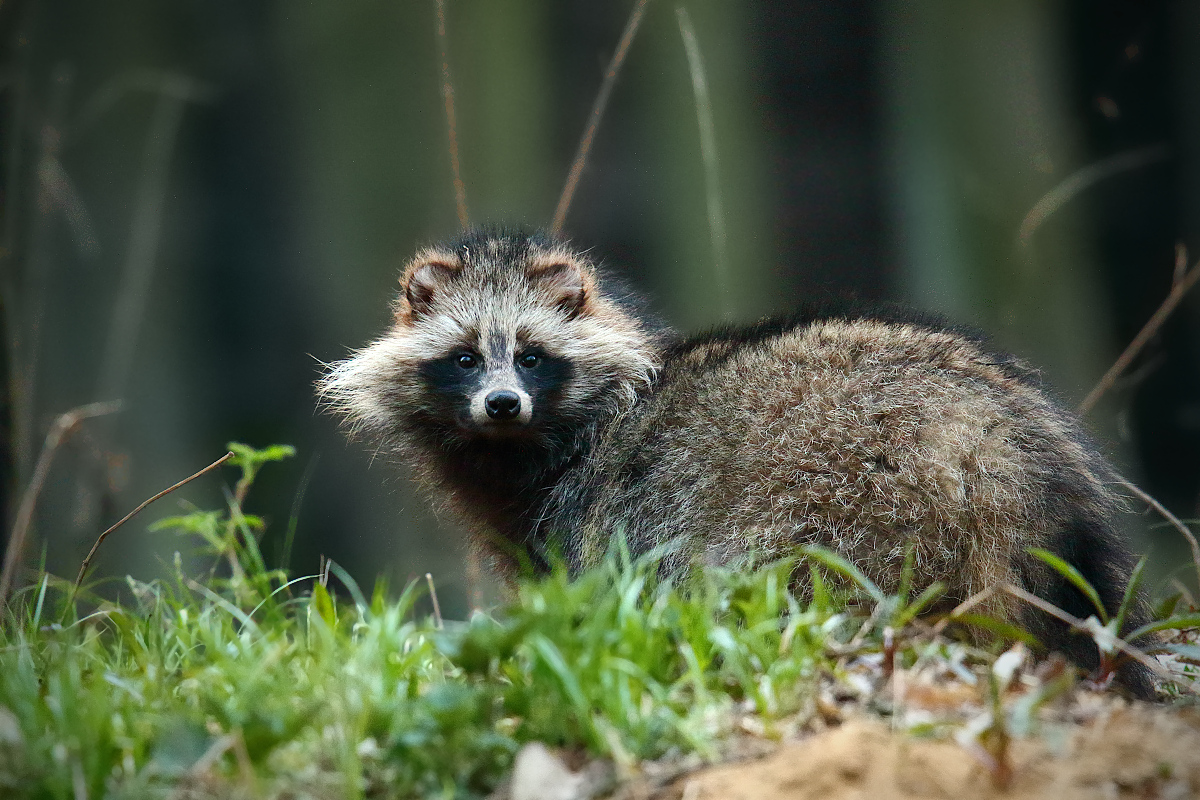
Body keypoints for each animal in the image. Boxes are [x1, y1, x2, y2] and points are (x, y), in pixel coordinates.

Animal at [319, 225, 1152, 695]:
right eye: (464, 358)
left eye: (530, 356)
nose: (500, 404)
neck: (528, 445)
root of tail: (1002, 437)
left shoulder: (599, 510)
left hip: (852, 497)